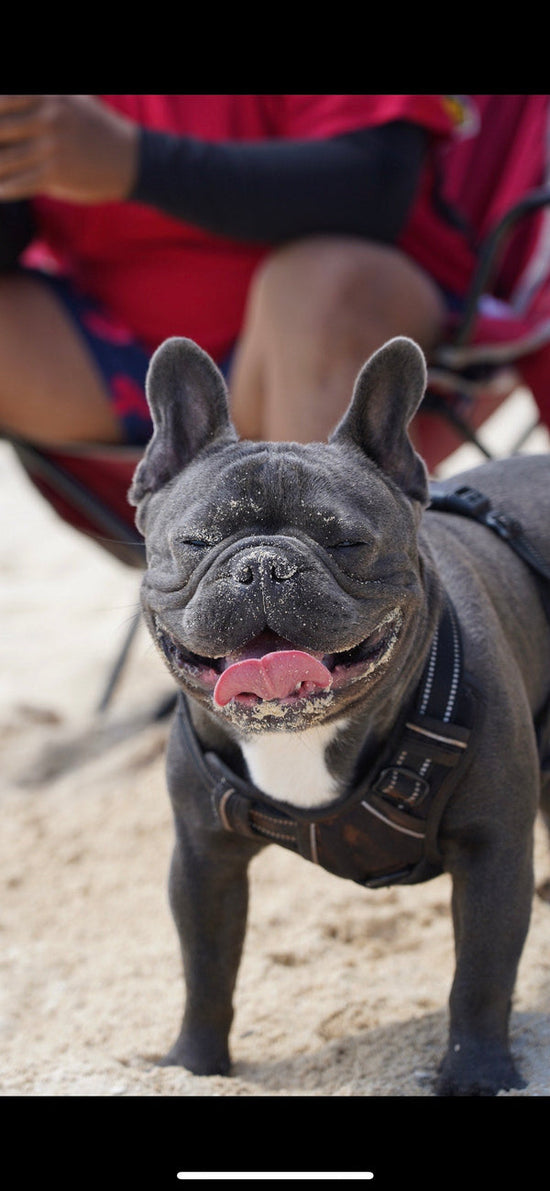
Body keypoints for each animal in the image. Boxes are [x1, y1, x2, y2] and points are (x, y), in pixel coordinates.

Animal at [129, 335, 550, 1095]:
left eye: (347, 543)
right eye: (196, 542)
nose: (264, 564)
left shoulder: (491, 851)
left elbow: (481, 974)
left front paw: (476, 1073)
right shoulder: (204, 858)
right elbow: (205, 970)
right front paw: (192, 1065)